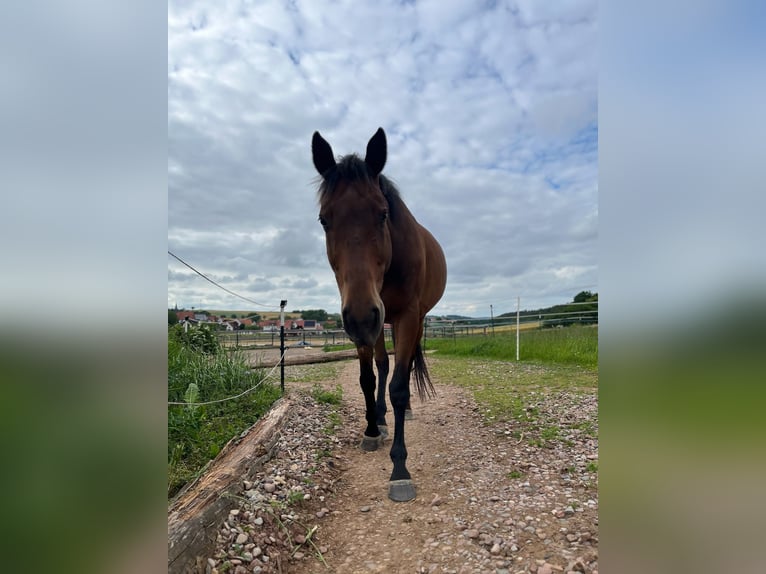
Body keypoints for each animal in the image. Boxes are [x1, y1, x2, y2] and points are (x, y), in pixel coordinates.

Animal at [311, 127, 447, 502]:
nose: (360, 316)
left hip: (404, 321)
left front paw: (399, 469)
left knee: (405, 366)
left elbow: (399, 386)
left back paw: (405, 413)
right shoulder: (362, 321)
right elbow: (368, 379)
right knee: (383, 366)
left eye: (383, 213)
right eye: (324, 219)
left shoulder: (404, 316)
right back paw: (383, 420)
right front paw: (372, 429)